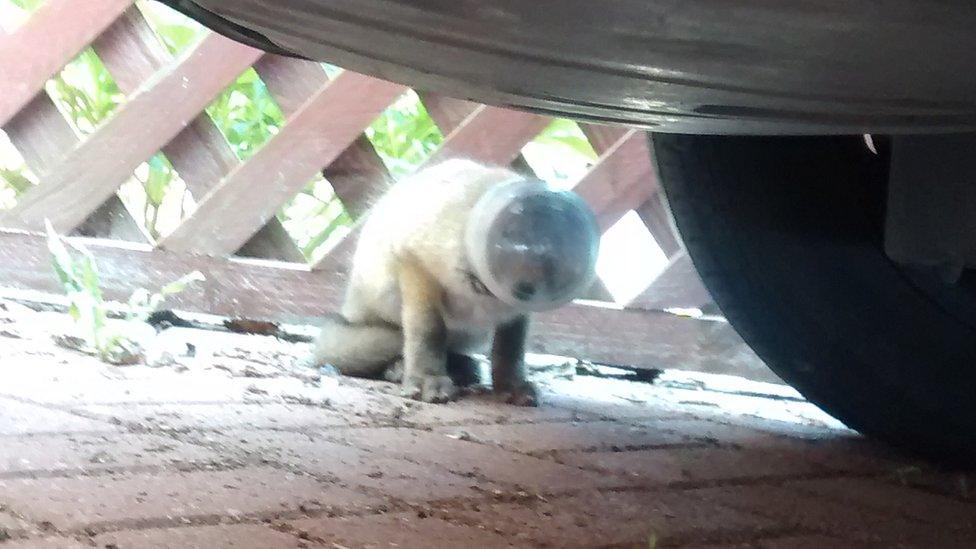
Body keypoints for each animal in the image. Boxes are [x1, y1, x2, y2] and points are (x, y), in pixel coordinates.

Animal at [314, 156, 604, 404]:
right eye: (524, 247)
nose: (527, 288)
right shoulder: (414, 260)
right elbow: (428, 332)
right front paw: (427, 378)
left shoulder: (514, 313)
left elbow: (510, 349)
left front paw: (510, 385)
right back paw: (399, 369)